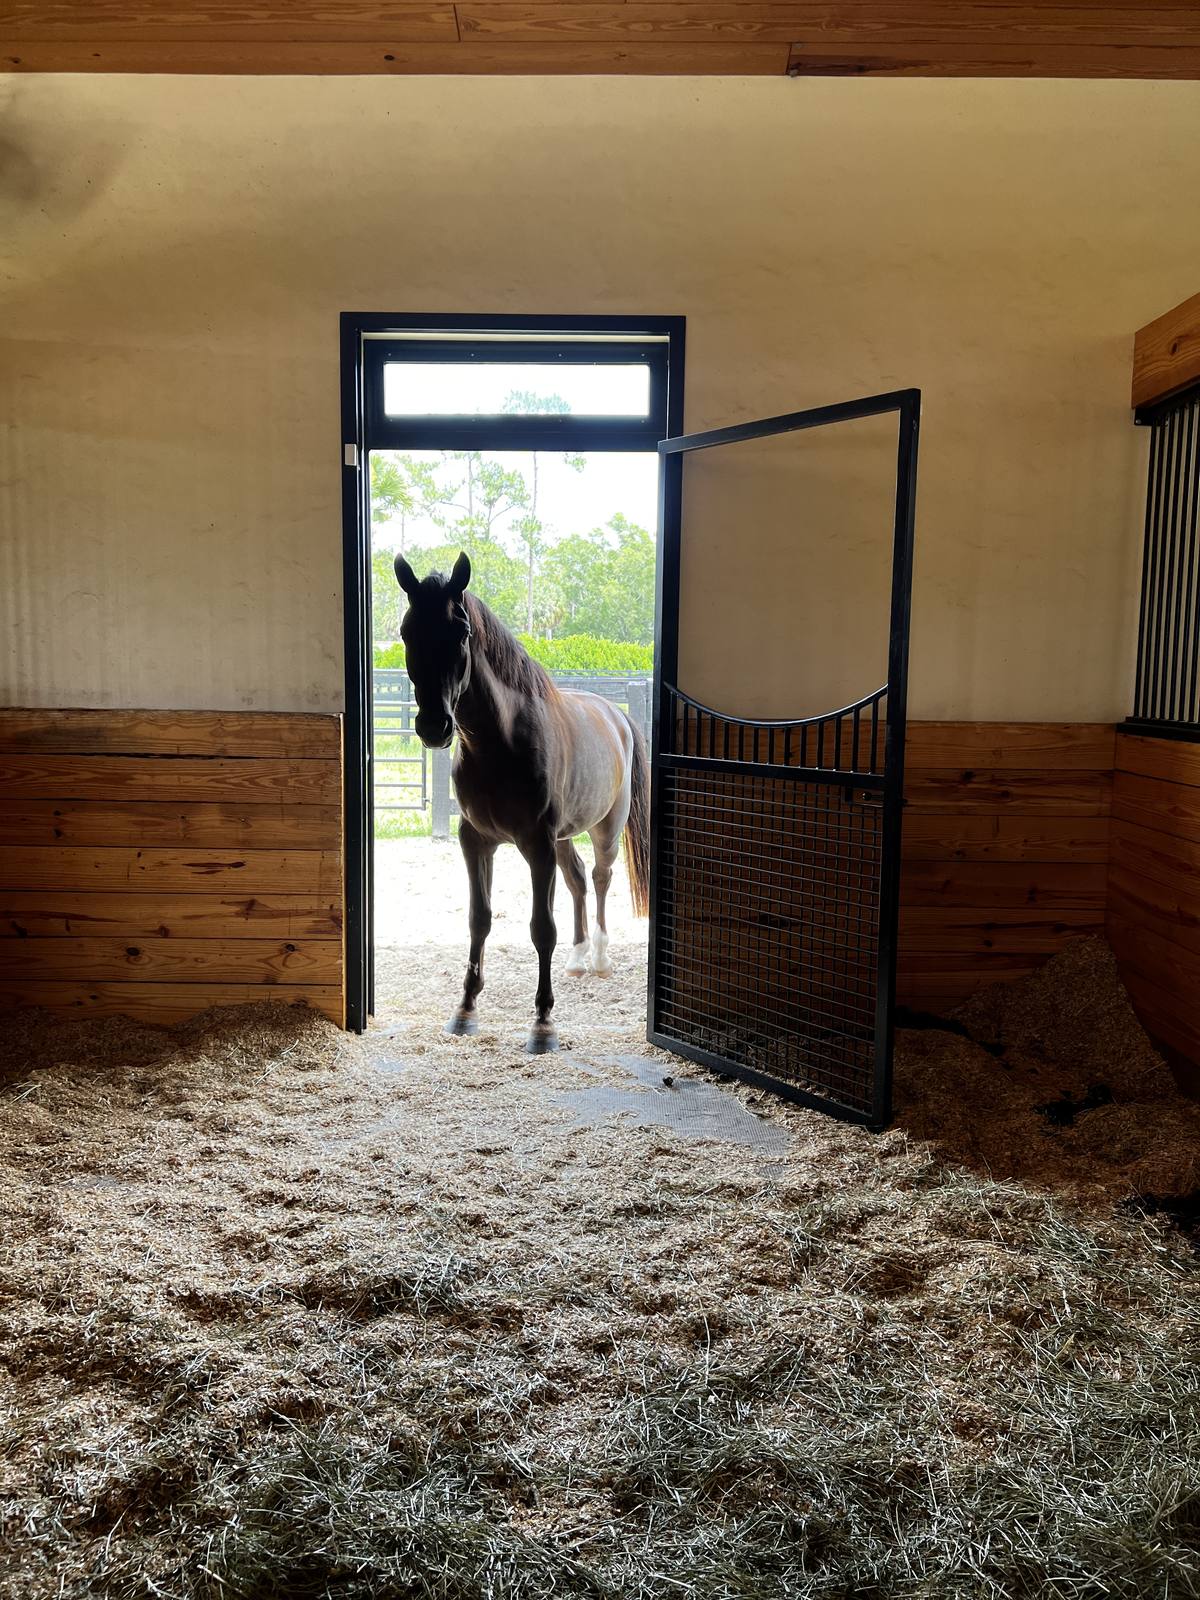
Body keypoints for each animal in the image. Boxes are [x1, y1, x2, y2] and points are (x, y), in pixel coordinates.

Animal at [394, 551, 651, 1054]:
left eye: (461, 631)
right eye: (407, 631)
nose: (435, 726)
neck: (501, 742)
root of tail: (617, 715)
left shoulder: (536, 844)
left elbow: (541, 928)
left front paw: (543, 1023)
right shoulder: (477, 841)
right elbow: (479, 919)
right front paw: (465, 1009)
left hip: (604, 830)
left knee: (601, 878)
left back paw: (601, 957)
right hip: (565, 837)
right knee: (577, 881)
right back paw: (578, 958)